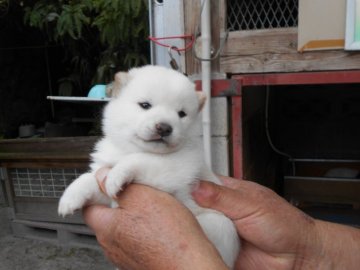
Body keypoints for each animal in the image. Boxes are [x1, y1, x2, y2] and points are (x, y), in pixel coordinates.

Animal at [57, 65, 240, 268]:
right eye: (145, 105)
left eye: (181, 114)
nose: (165, 127)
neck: (130, 149)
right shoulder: (104, 181)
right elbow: (90, 178)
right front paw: (70, 197)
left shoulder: (173, 170)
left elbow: (141, 159)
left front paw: (117, 175)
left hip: (220, 224)